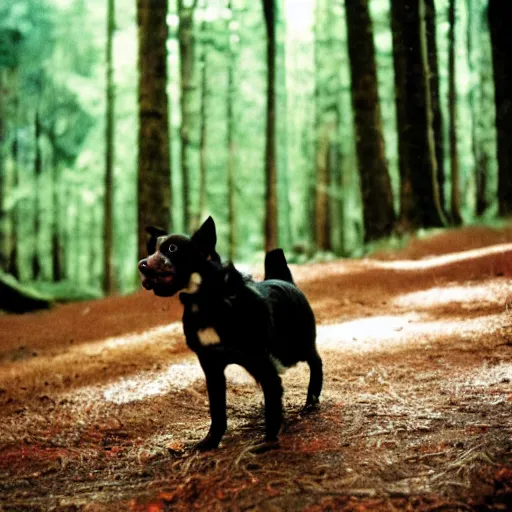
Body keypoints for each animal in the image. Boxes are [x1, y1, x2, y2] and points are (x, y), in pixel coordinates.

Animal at [139, 218, 324, 450]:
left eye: (172, 248)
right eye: (152, 249)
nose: (141, 264)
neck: (205, 301)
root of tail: (285, 280)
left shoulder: (259, 359)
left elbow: (272, 399)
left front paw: (269, 440)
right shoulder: (211, 366)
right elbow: (217, 409)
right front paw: (210, 442)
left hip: (294, 348)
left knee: (315, 361)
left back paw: (312, 400)